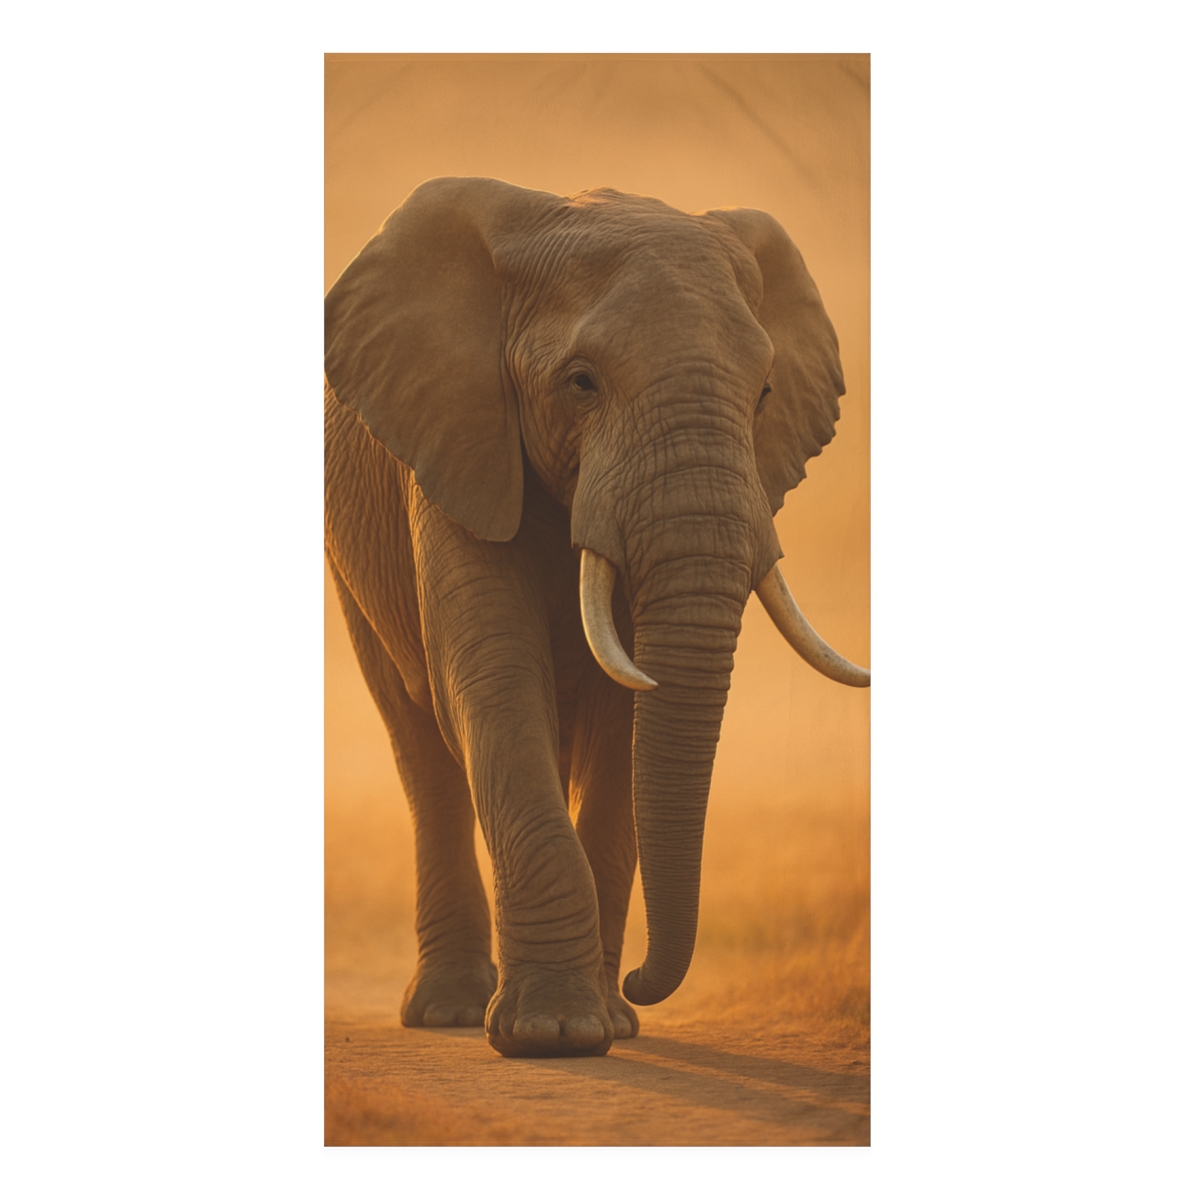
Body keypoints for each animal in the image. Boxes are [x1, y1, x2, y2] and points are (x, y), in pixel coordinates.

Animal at [324, 176, 869, 1059]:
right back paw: (447, 1012)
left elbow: (628, 713)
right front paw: (550, 1034)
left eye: (764, 393)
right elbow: (493, 678)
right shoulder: (459, 440)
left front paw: (602, 1024)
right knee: (420, 747)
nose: (647, 980)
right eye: (582, 382)